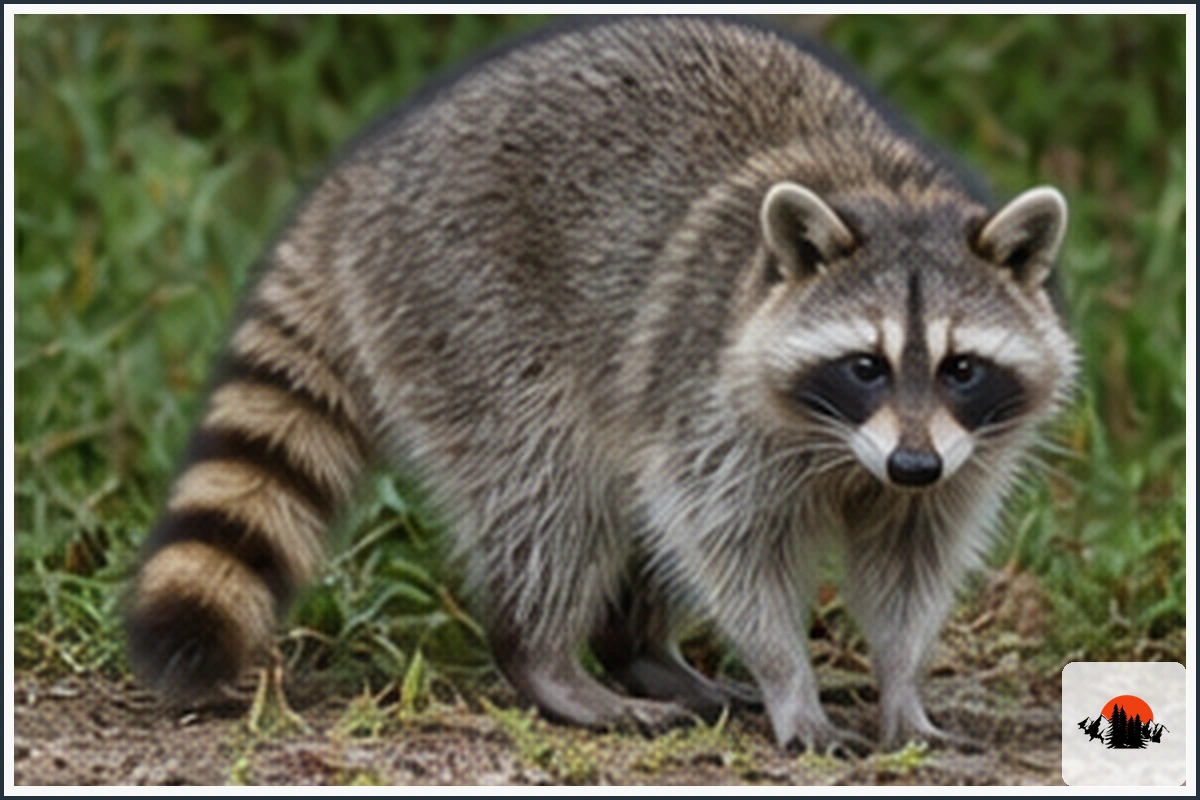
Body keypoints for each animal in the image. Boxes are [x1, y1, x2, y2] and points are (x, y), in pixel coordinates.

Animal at [126, 16, 1076, 753]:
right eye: (865, 364)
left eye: (960, 367)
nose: (912, 467)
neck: (888, 192)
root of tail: (367, 173)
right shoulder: (710, 390)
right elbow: (730, 543)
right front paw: (789, 678)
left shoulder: (959, 452)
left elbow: (912, 561)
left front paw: (901, 683)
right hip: (470, 304)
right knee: (552, 484)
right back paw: (546, 657)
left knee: (627, 498)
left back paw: (640, 649)